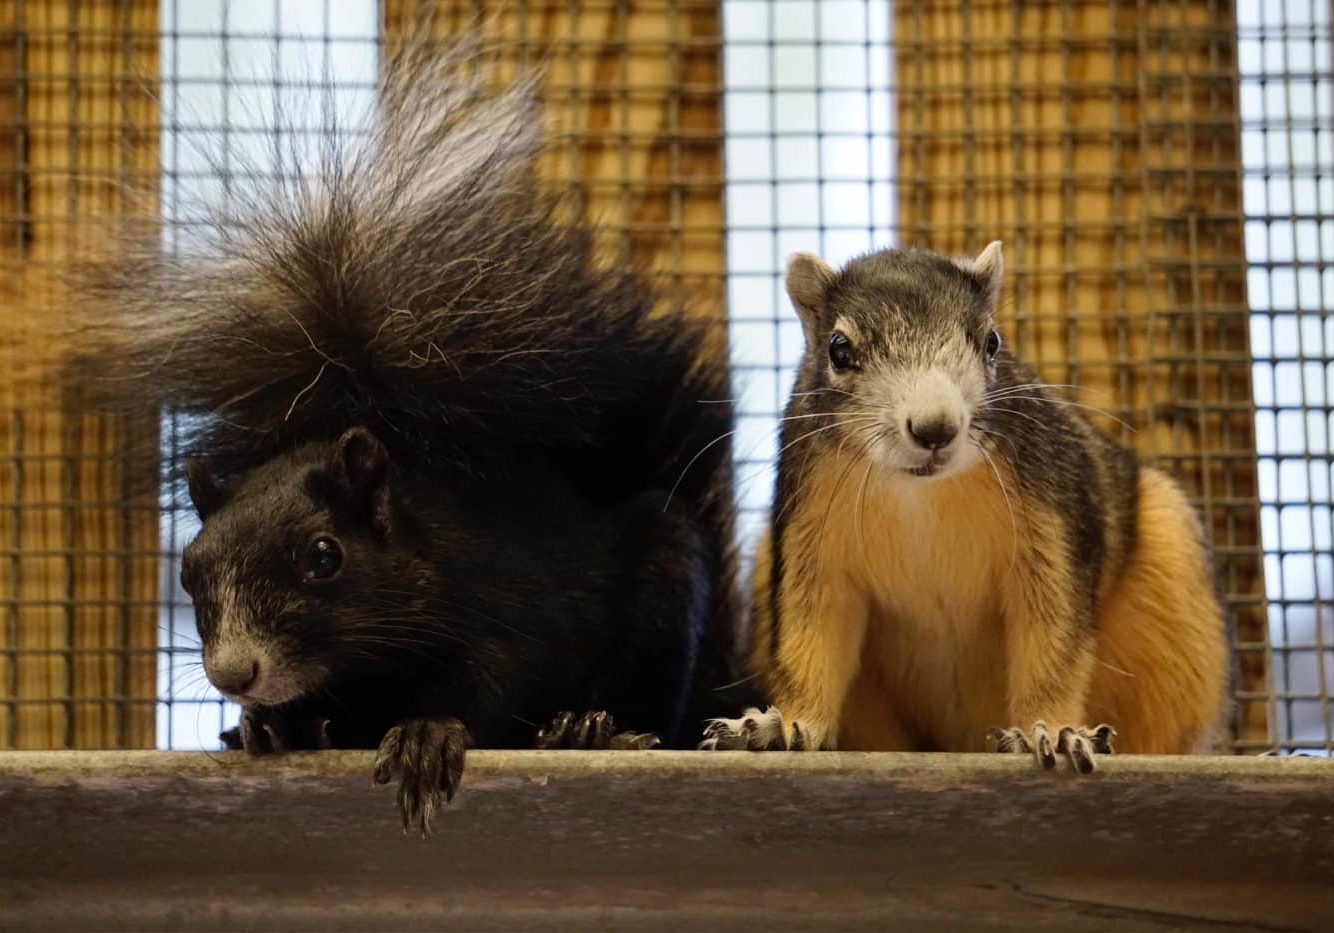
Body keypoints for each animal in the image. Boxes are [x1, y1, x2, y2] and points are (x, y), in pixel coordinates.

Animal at [47, 35, 753, 833]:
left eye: (325, 556)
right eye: (188, 573)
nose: (235, 675)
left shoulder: (511, 605)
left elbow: (495, 680)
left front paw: (427, 733)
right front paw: (270, 723)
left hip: (669, 589)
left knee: (651, 704)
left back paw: (591, 729)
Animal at [701, 242, 1230, 770]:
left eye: (992, 341)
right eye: (838, 349)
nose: (935, 427)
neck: (919, 493)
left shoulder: (1053, 522)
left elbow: (1053, 642)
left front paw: (1053, 730)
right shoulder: (810, 533)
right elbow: (810, 638)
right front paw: (784, 725)